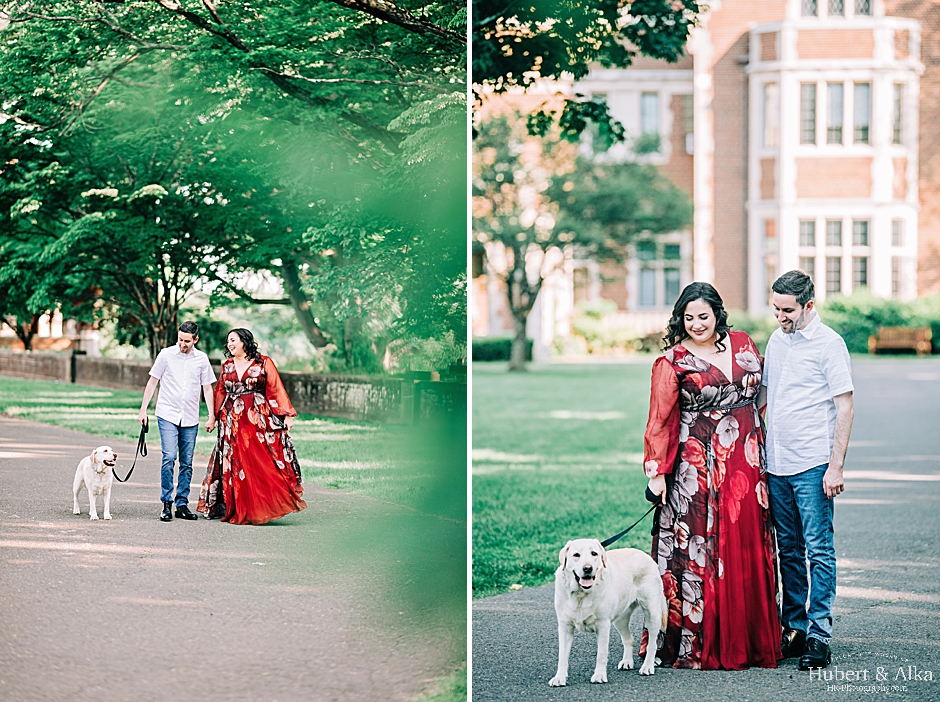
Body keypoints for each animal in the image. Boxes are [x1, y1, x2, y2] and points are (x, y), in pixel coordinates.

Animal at [548, 540, 664, 688]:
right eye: (576, 555)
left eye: (594, 553)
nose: (587, 568)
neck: (581, 594)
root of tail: (645, 555)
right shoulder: (565, 627)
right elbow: (562, 656)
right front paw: (559, 678)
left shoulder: (602, 625)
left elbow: (601, 654)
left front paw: (599, 675)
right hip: (620, 619)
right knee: (629, 639)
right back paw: (627, 662)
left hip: (652, 613)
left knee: (652, 644)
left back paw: (647, 666)